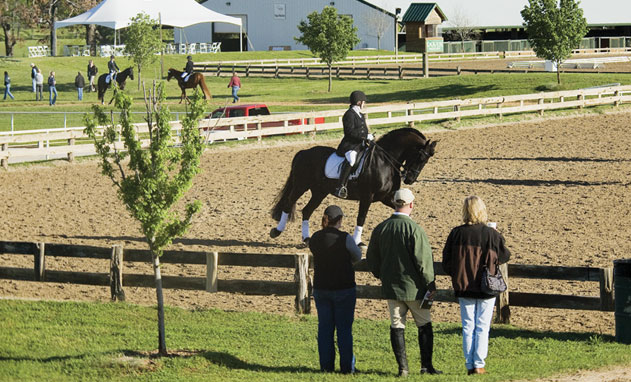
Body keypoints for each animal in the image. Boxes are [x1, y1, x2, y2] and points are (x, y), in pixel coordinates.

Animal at [270, 127, 436, 245]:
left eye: (426, 160)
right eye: (420, 157)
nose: (410, 179)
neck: (385, 162)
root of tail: (304, 152)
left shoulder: (386, 197)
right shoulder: (367, 196)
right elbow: (361, 217)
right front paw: (358, 241)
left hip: (319, 192)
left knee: (307, 210)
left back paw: (306, 238)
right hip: (301, 185)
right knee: (288, 203)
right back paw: (277, 231)